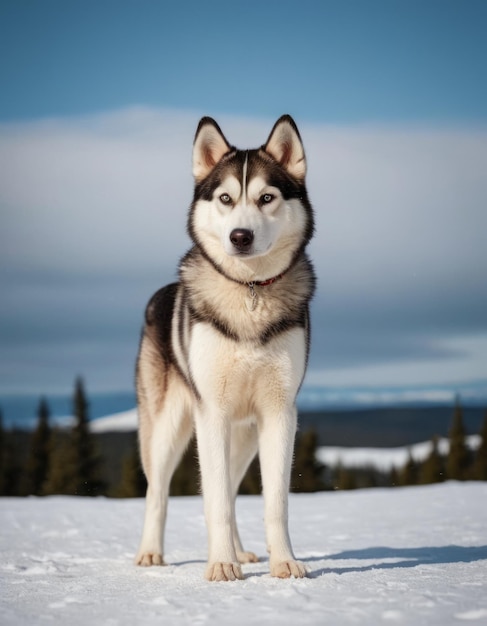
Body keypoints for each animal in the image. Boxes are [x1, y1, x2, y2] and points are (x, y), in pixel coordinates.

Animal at [135, 113, 316, 580]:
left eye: (267, 197)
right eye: (225, 198)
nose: (240, 236)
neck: (249, 291)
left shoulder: (279, 413)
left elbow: (275, 502)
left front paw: (284, 562)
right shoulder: (211, 412)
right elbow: (213, 500)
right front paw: (220, 565)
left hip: (245, 435)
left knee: (232, 491)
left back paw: (240, 550)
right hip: (169, 426)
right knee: (159, 493)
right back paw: (150, 554)